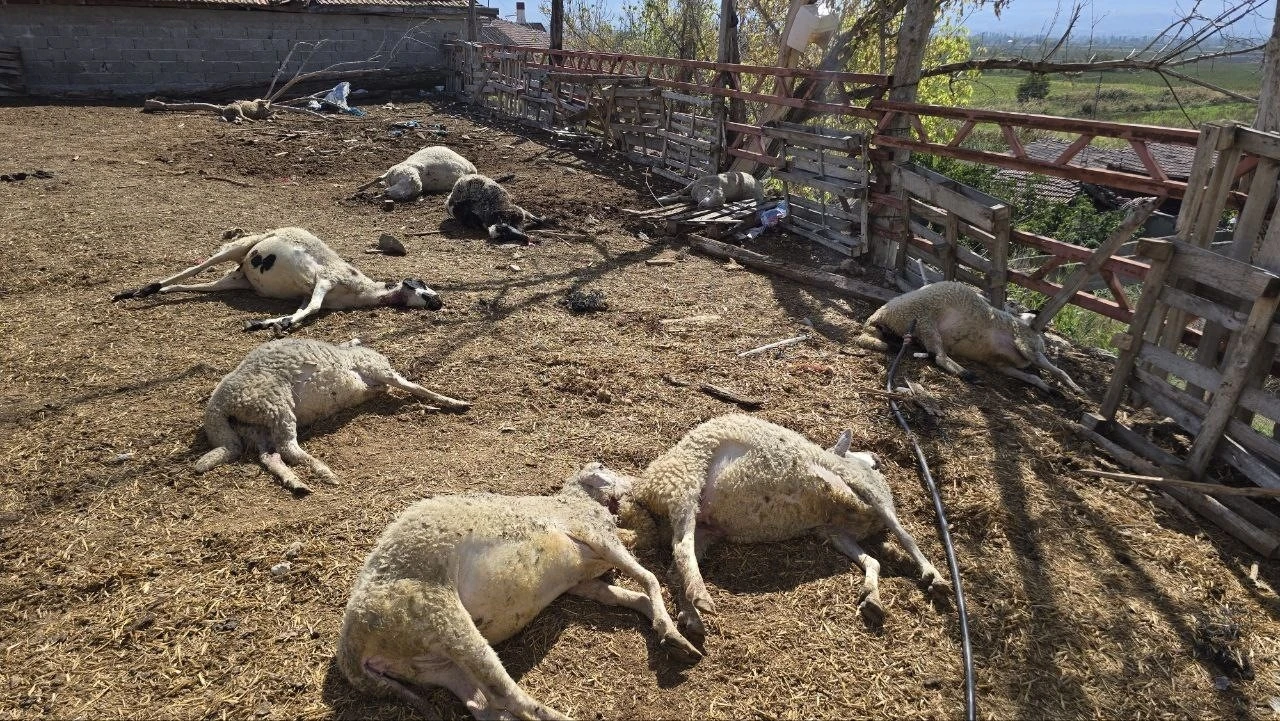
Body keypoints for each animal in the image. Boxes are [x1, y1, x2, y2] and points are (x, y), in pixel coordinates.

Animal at [111, 226, 450, 335]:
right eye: (422, 287)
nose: (439, 302)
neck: (363, 291)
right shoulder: (324, 281)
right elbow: (312, 310)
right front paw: (279, 325)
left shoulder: (309, 293)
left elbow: (302, 310)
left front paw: (266, 324)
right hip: (238, 247)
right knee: (193, 270)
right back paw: (137, 291)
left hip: (236, 281)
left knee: (194, 286)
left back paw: (139, 293)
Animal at [194, 338, 465, 496]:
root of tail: (218, 408)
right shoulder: (378, 370)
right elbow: (417, 388)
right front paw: (456, 402)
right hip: (276, 406)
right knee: (288, 448)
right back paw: (325, 472)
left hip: (255, 426)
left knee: (270, 456)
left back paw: (297, 483)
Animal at [337, 463, 701, 721]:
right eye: (605, 467)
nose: (638, 482)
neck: (576, 499)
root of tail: (350, 650)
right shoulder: (596, 535)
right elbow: (649, 579)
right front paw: (676, 635)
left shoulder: (581, 582)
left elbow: (634, 596)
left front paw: (671, 635)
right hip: (437, 616)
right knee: (506, 696)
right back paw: (563, 718)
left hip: (431, 664)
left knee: (484, 705)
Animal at [614, 412, 947, 637]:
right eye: (866, 460)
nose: (876, 456)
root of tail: (644, 491)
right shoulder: (866, 490)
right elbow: (905, 535)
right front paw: (935, 577)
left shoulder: (832, 531)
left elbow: (872, 561)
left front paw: (872, 598)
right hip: (686, 477)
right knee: (682, 545)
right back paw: (701, 598)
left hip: (705, 525)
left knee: (677, 560)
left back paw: (690, 613)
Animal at [855, 281, 1085, 394]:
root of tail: (877, 316)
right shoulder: (1026, 345)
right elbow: (1057, 370)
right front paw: (1075, 388)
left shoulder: (1000, 365)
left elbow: (1033, 377)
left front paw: (1051, 389)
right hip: (925, 320)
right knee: (939, 357)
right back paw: (968, 374)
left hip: (920, 328)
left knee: (933, 353)